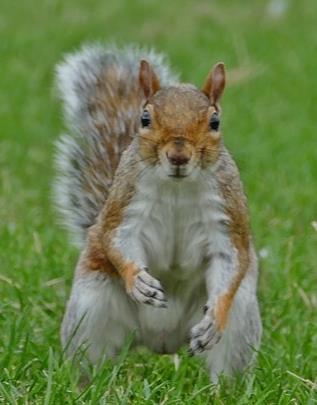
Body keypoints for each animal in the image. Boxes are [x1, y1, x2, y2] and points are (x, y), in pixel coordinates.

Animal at [55, 44, 262, 382]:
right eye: (145, 118)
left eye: (215, 122)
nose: (178, 155)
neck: (177, 186)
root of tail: (162, 340)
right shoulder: (125, 204)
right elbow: (116, 239)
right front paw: (138, 280)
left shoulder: (227, 213)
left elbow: (232, 257)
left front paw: (216, 316)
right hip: (91, 309)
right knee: (89, 362)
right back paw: (87, 386)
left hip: (241, 319)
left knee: (227, 368)